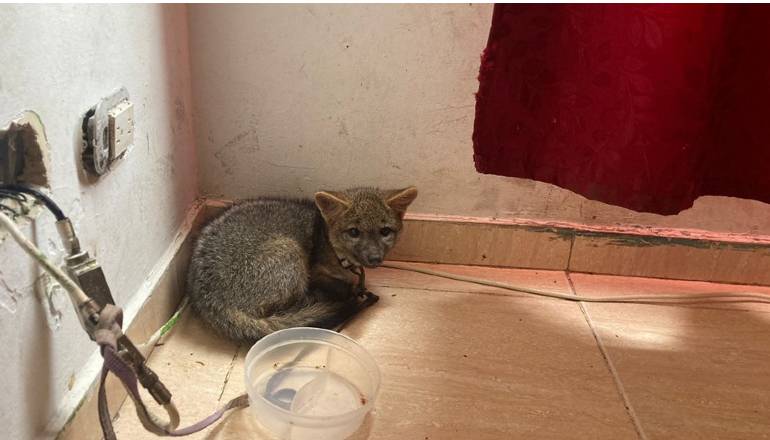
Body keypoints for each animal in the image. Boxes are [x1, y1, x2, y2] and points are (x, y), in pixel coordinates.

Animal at [186, 186, 418, 342]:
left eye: (385, 231)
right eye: (354, 232)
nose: (374, 259)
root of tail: (209, 298)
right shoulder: (314, 273)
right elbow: (337, 284)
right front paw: (348, 290)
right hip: (291, 251)